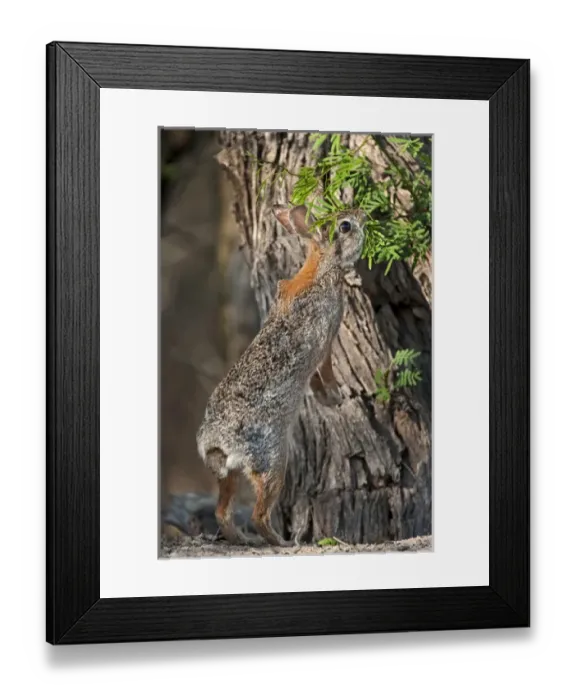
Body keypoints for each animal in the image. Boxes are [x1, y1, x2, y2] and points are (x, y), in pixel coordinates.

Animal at [196, 204, 366, 547]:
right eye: (345, 226)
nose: (364, 216)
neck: (321, 268)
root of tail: (217, 443)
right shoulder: (327, 339)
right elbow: (325, 371)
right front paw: (335, 395)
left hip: (231, 475)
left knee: (223, 512)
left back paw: (242, 540)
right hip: (274, 461)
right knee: (259, 514)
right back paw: (283, 542)